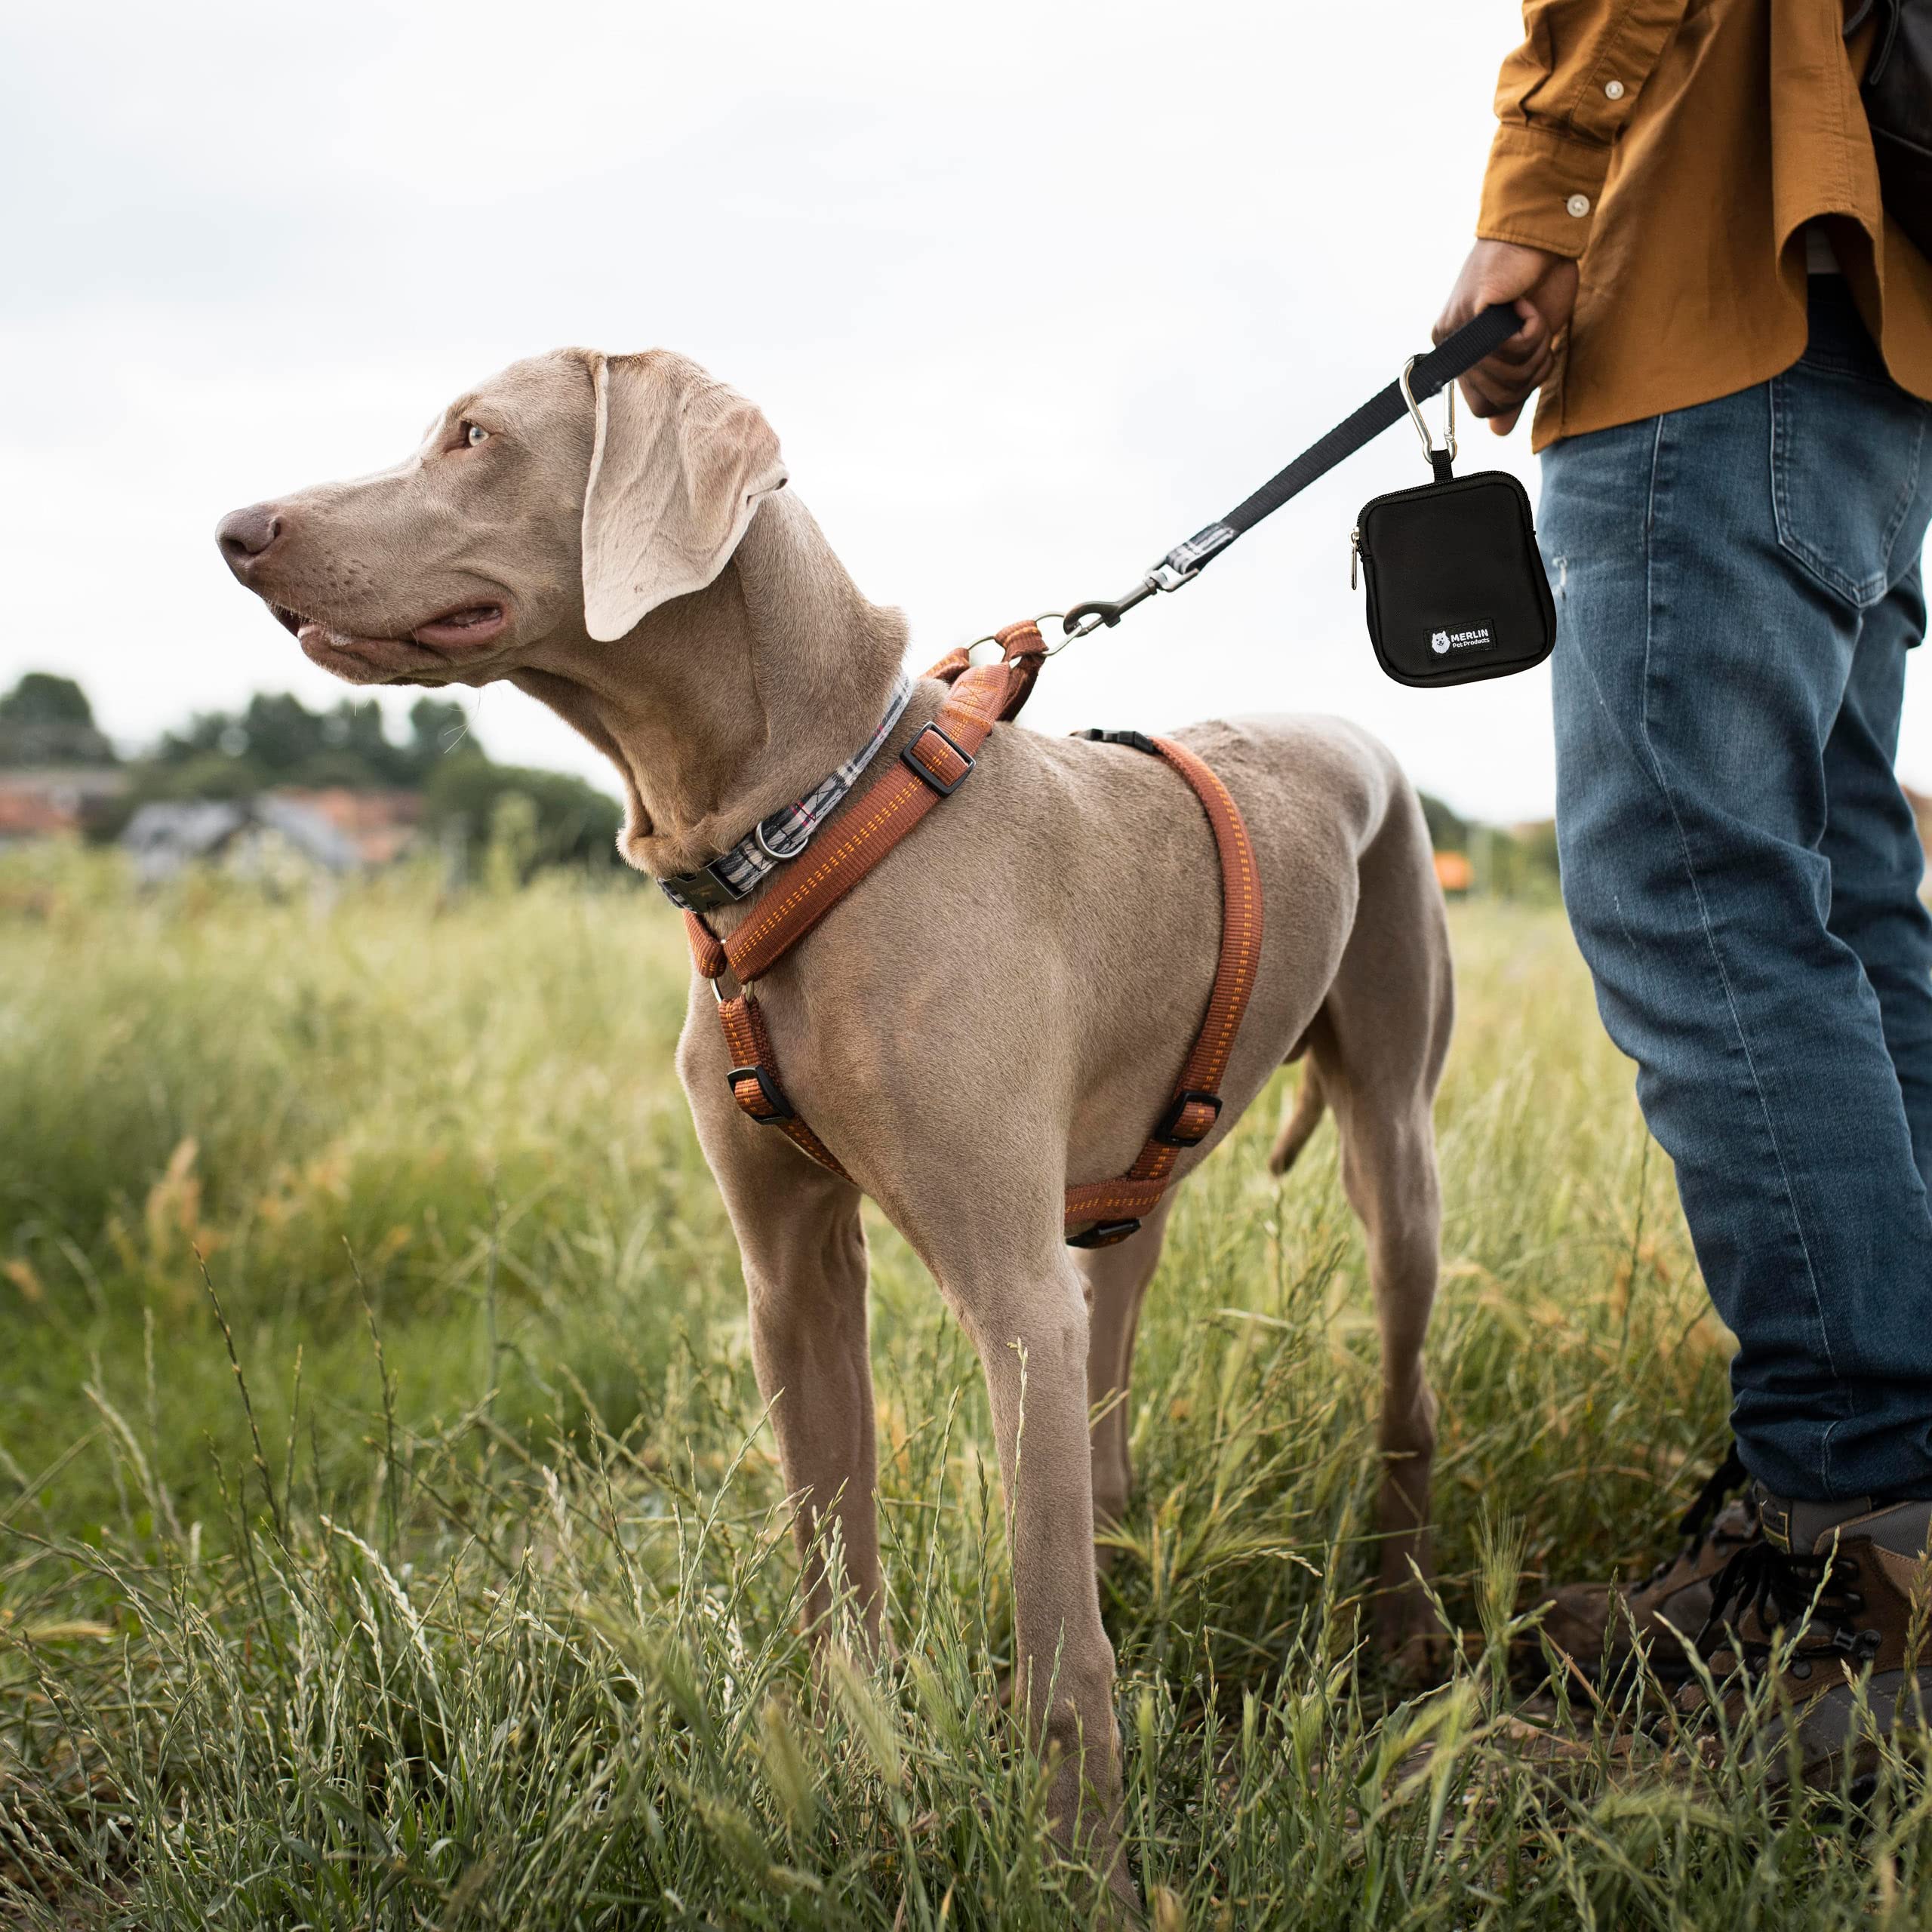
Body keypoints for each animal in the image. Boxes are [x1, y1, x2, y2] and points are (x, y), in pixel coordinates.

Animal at [215, 347, 1453, 1901]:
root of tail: (1350, 728)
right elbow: (830, 1565)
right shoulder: (791, 1280)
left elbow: (1057, 1648)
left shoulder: (1008, 1296)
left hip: (1393, 1145)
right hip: (1128, 1185)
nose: (236, 530)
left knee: (1402, 1390)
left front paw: (1082, 1877)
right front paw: (860, 1776)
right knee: (1117, 1345)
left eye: (475, 437)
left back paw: (1402, 1627)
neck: (796, 826)